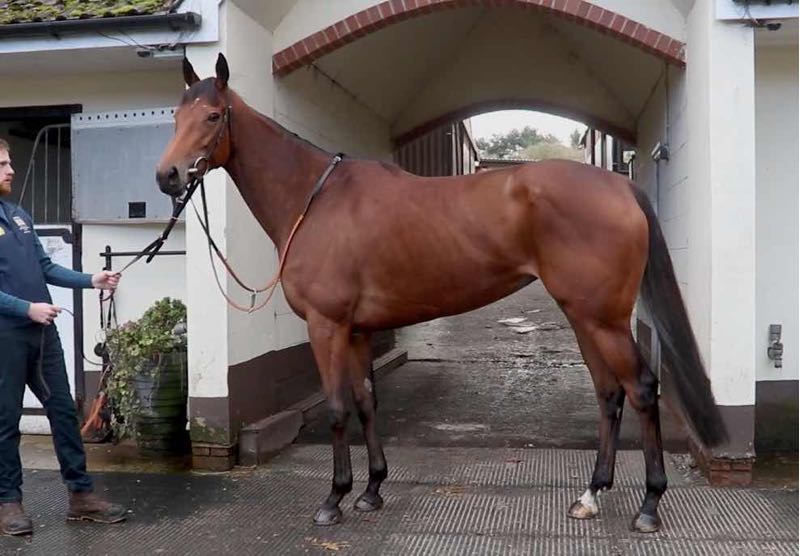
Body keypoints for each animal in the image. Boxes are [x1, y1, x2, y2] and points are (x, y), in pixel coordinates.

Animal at [156, 53, 726, 533]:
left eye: (213, 116)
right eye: (175, 117)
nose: (168, 176)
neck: (315, 200)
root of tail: (620, 186)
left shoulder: (327, 325)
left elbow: (337, 408)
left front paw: (333, 499)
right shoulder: (358, 330)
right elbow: (366, 402)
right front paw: (371, 490)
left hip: (603, 320)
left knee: (642, 389)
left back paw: (649, 506)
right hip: (584, 316)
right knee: (609, 394)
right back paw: (590, 495)